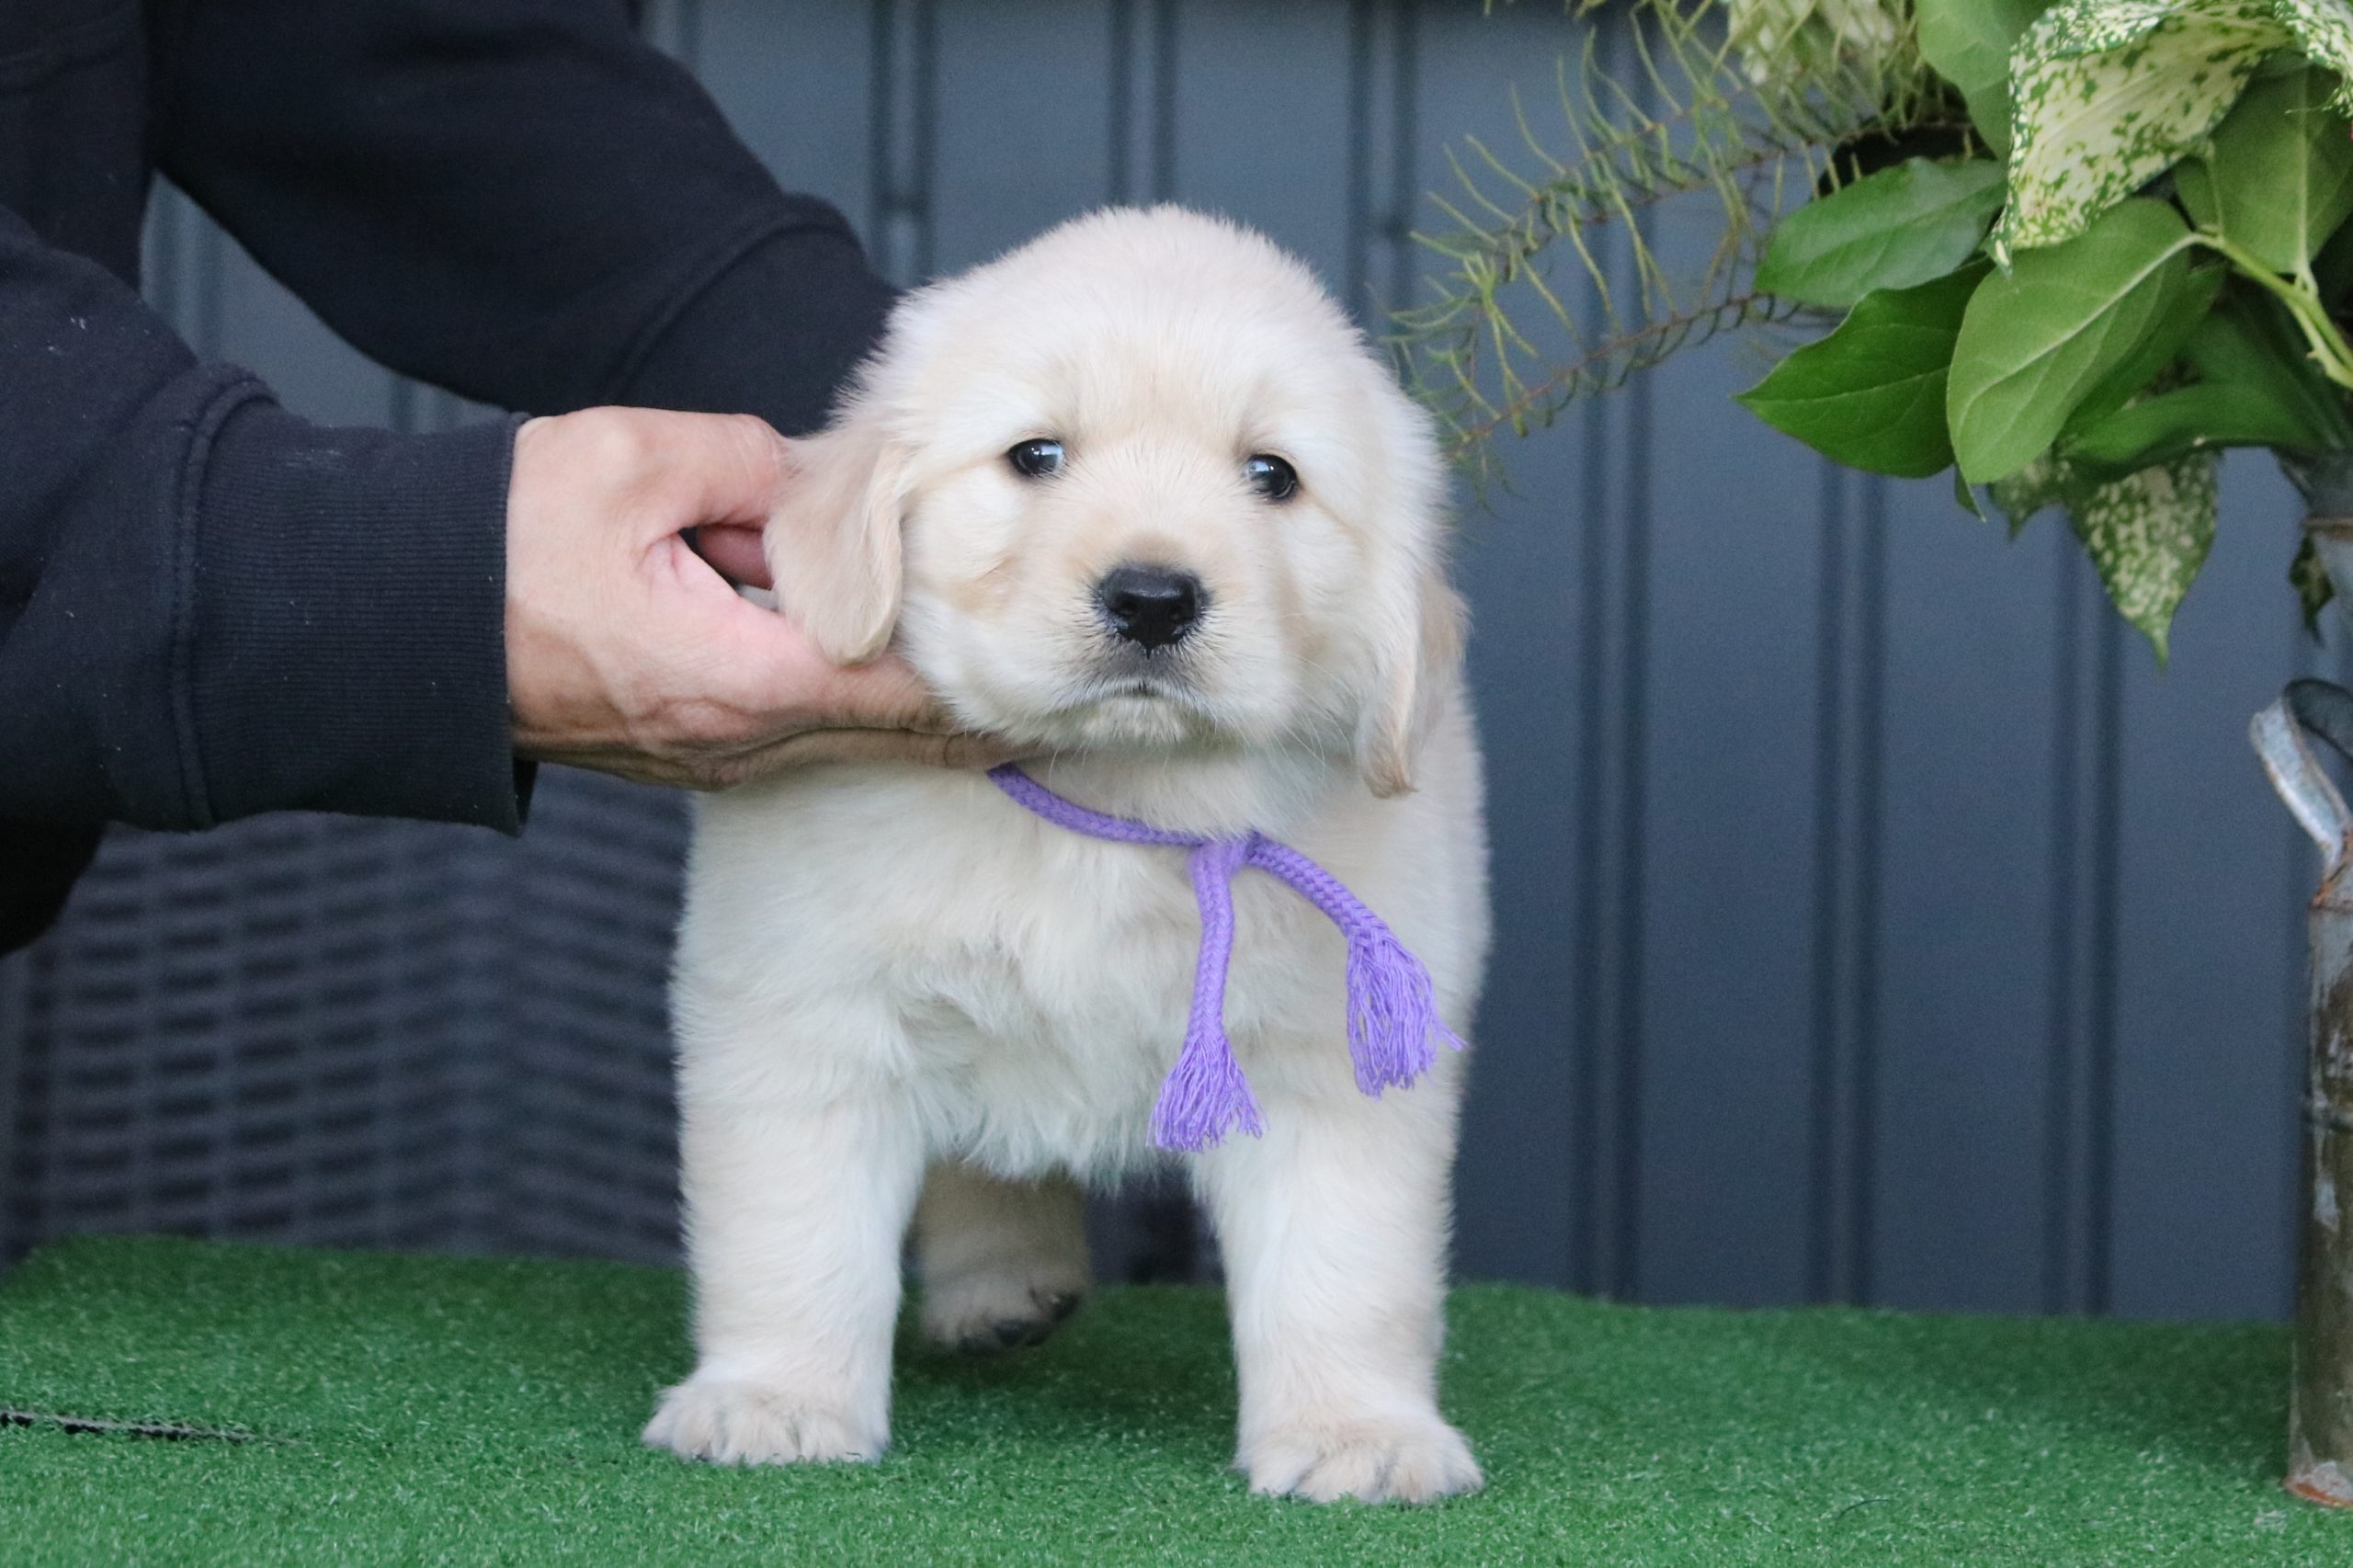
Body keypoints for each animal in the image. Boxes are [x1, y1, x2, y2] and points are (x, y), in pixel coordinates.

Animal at [644, 201, 1486, 1497]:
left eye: (1272, 475)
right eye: (1033, 456)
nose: (1151, 598)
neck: (1111, 802)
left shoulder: (1329, 1059)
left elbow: (1344, 1269)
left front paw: (1358, 1430)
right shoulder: (806, 1010)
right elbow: (794, 1233)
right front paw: (772, 1396)